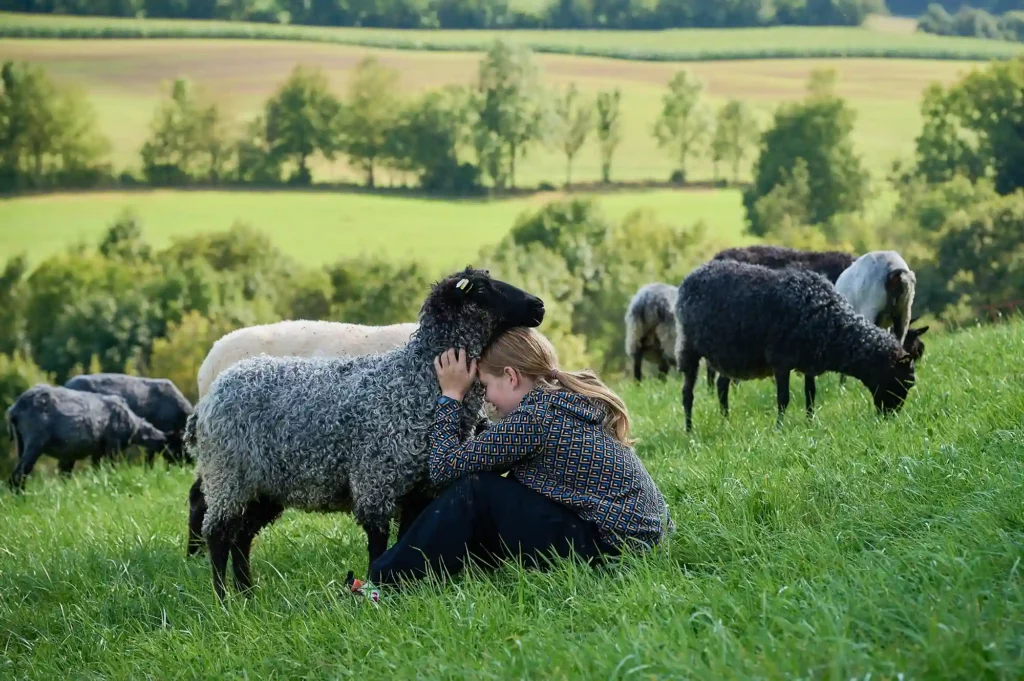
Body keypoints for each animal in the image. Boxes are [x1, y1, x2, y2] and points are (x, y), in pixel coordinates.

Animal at [6, 385, 169, 491]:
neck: (133, 425)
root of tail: (15, 410)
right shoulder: (113, 446)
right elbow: (111, 467)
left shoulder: (95, 451)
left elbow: (93, 469)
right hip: (35, 441)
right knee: (19, 473)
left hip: (21, 442)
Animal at [675, 259, 916, 431]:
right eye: (903, 381)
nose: (890, 417)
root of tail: (692, 276)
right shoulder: (780, 360)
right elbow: (783, 398)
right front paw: (779, 428)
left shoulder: (808, 362)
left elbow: (811, 394)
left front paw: (810, 422)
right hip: (688, 347)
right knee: (687, 393)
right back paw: (689, 431)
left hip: (727, 356)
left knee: (721, 387)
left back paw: (725, 422)